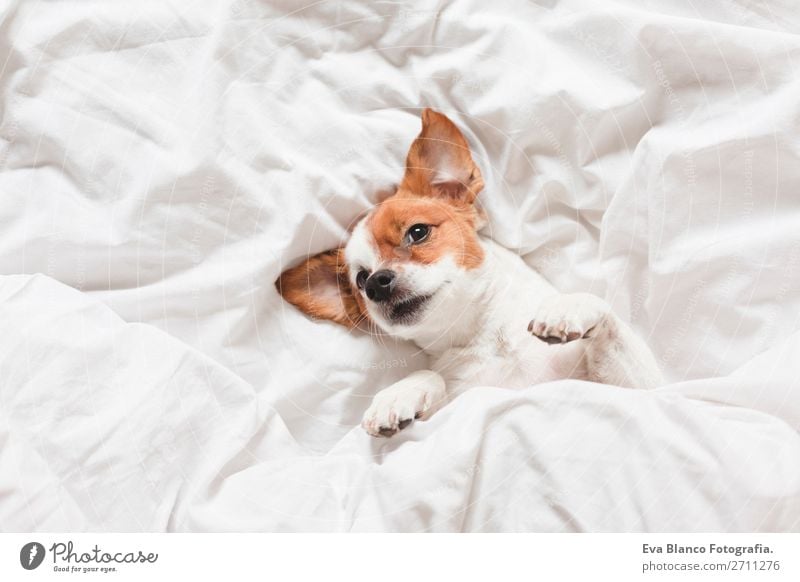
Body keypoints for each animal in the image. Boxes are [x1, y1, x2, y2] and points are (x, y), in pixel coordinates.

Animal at [276, 109, 664, 438]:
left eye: (418, 232)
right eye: (359, 280)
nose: (376, 283)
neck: (487, 337)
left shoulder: (640, 391)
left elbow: (609, 320)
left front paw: (567, 306)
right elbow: (430, 375)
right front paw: (400, 393)